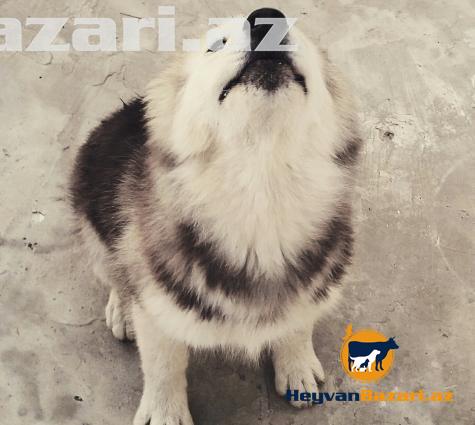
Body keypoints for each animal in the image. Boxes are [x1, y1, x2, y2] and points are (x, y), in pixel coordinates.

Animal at [70, 8, 362, 424]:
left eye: (301, 36)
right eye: (215, 44)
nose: (267, 18)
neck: (261, 189)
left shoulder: (312, 281)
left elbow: (297, 320)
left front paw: (296, 362)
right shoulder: (158, 307)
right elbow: (163, 364)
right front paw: (164, 411)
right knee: (114, 272)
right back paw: (122, 308)